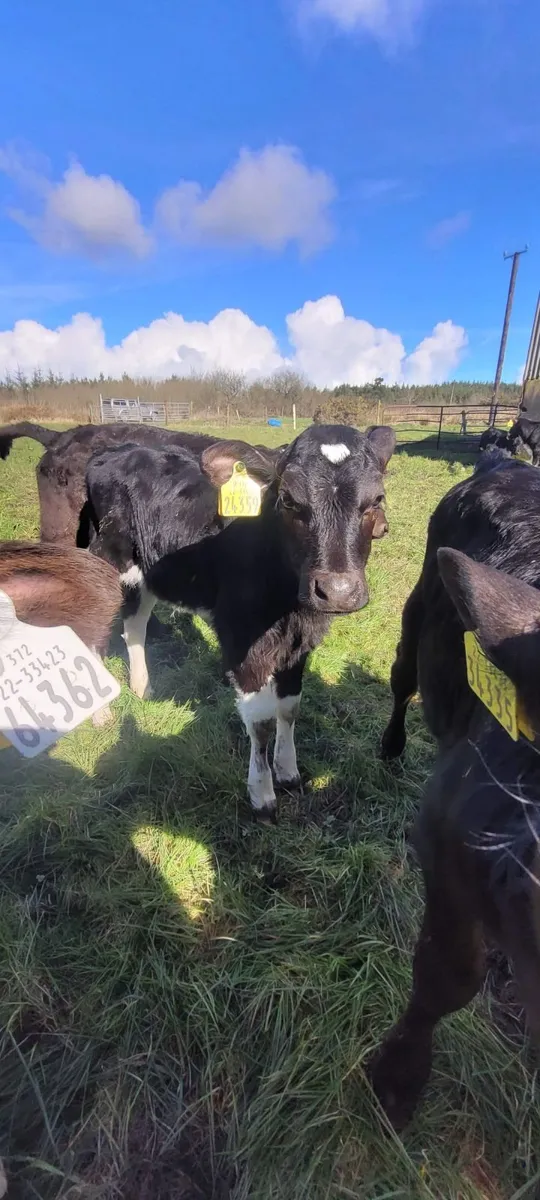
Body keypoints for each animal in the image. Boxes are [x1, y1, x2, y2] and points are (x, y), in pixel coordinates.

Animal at [85, 423, 396, 818]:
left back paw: (142, 688)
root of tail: (117, 451)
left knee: (135, 625)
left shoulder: (300, 645)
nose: (338, 591)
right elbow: (261, 722)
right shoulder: (241, 640)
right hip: (105, 560)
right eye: (289, 500)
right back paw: (100, 714)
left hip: (147, 572)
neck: (288, 606)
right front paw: (262, 795)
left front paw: (288, 772)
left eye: (377, 499)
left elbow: (290, 708)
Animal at [369, 456, 540, 1129]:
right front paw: (397, 1083)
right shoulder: (445, 836)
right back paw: (390, 748)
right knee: (400, 678)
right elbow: (447, 974)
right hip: (416, 611)